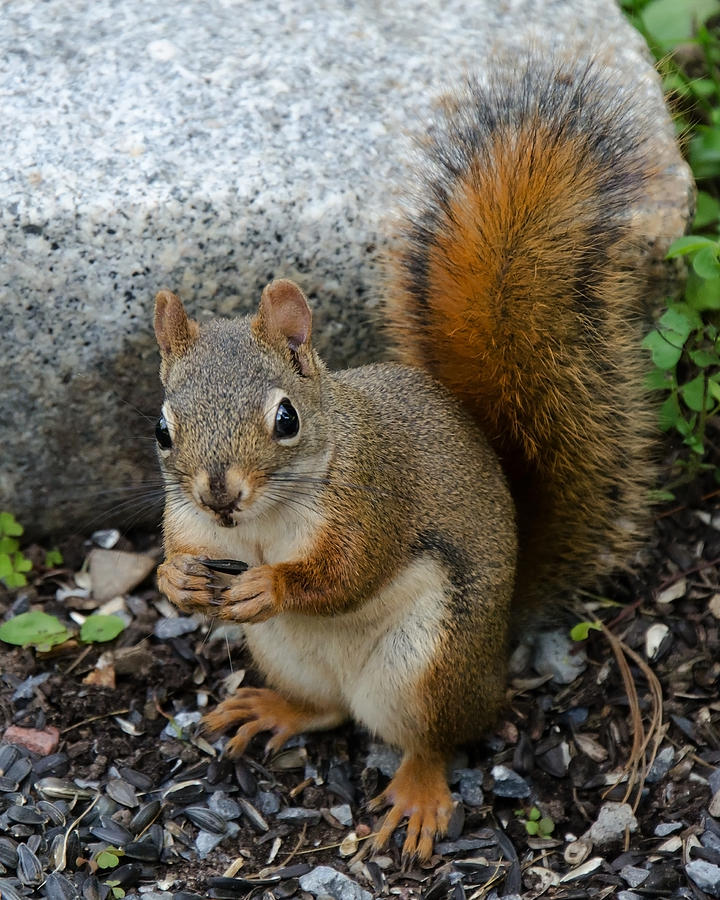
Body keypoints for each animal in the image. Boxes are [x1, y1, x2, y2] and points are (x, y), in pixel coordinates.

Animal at [153, 59, 676, 860]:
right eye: (161, 429)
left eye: (285, 418)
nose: (218, 494)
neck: (261, 524)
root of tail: (496, 653)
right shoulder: (191, 520)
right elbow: (176, 555)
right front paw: (176, 579)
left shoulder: (374, 498)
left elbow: (345, 574)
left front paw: (270, 584)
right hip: (286, 654)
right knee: (328, 710)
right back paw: (277, 710)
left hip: (430, 662)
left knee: (433, 738)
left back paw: (420, 795)